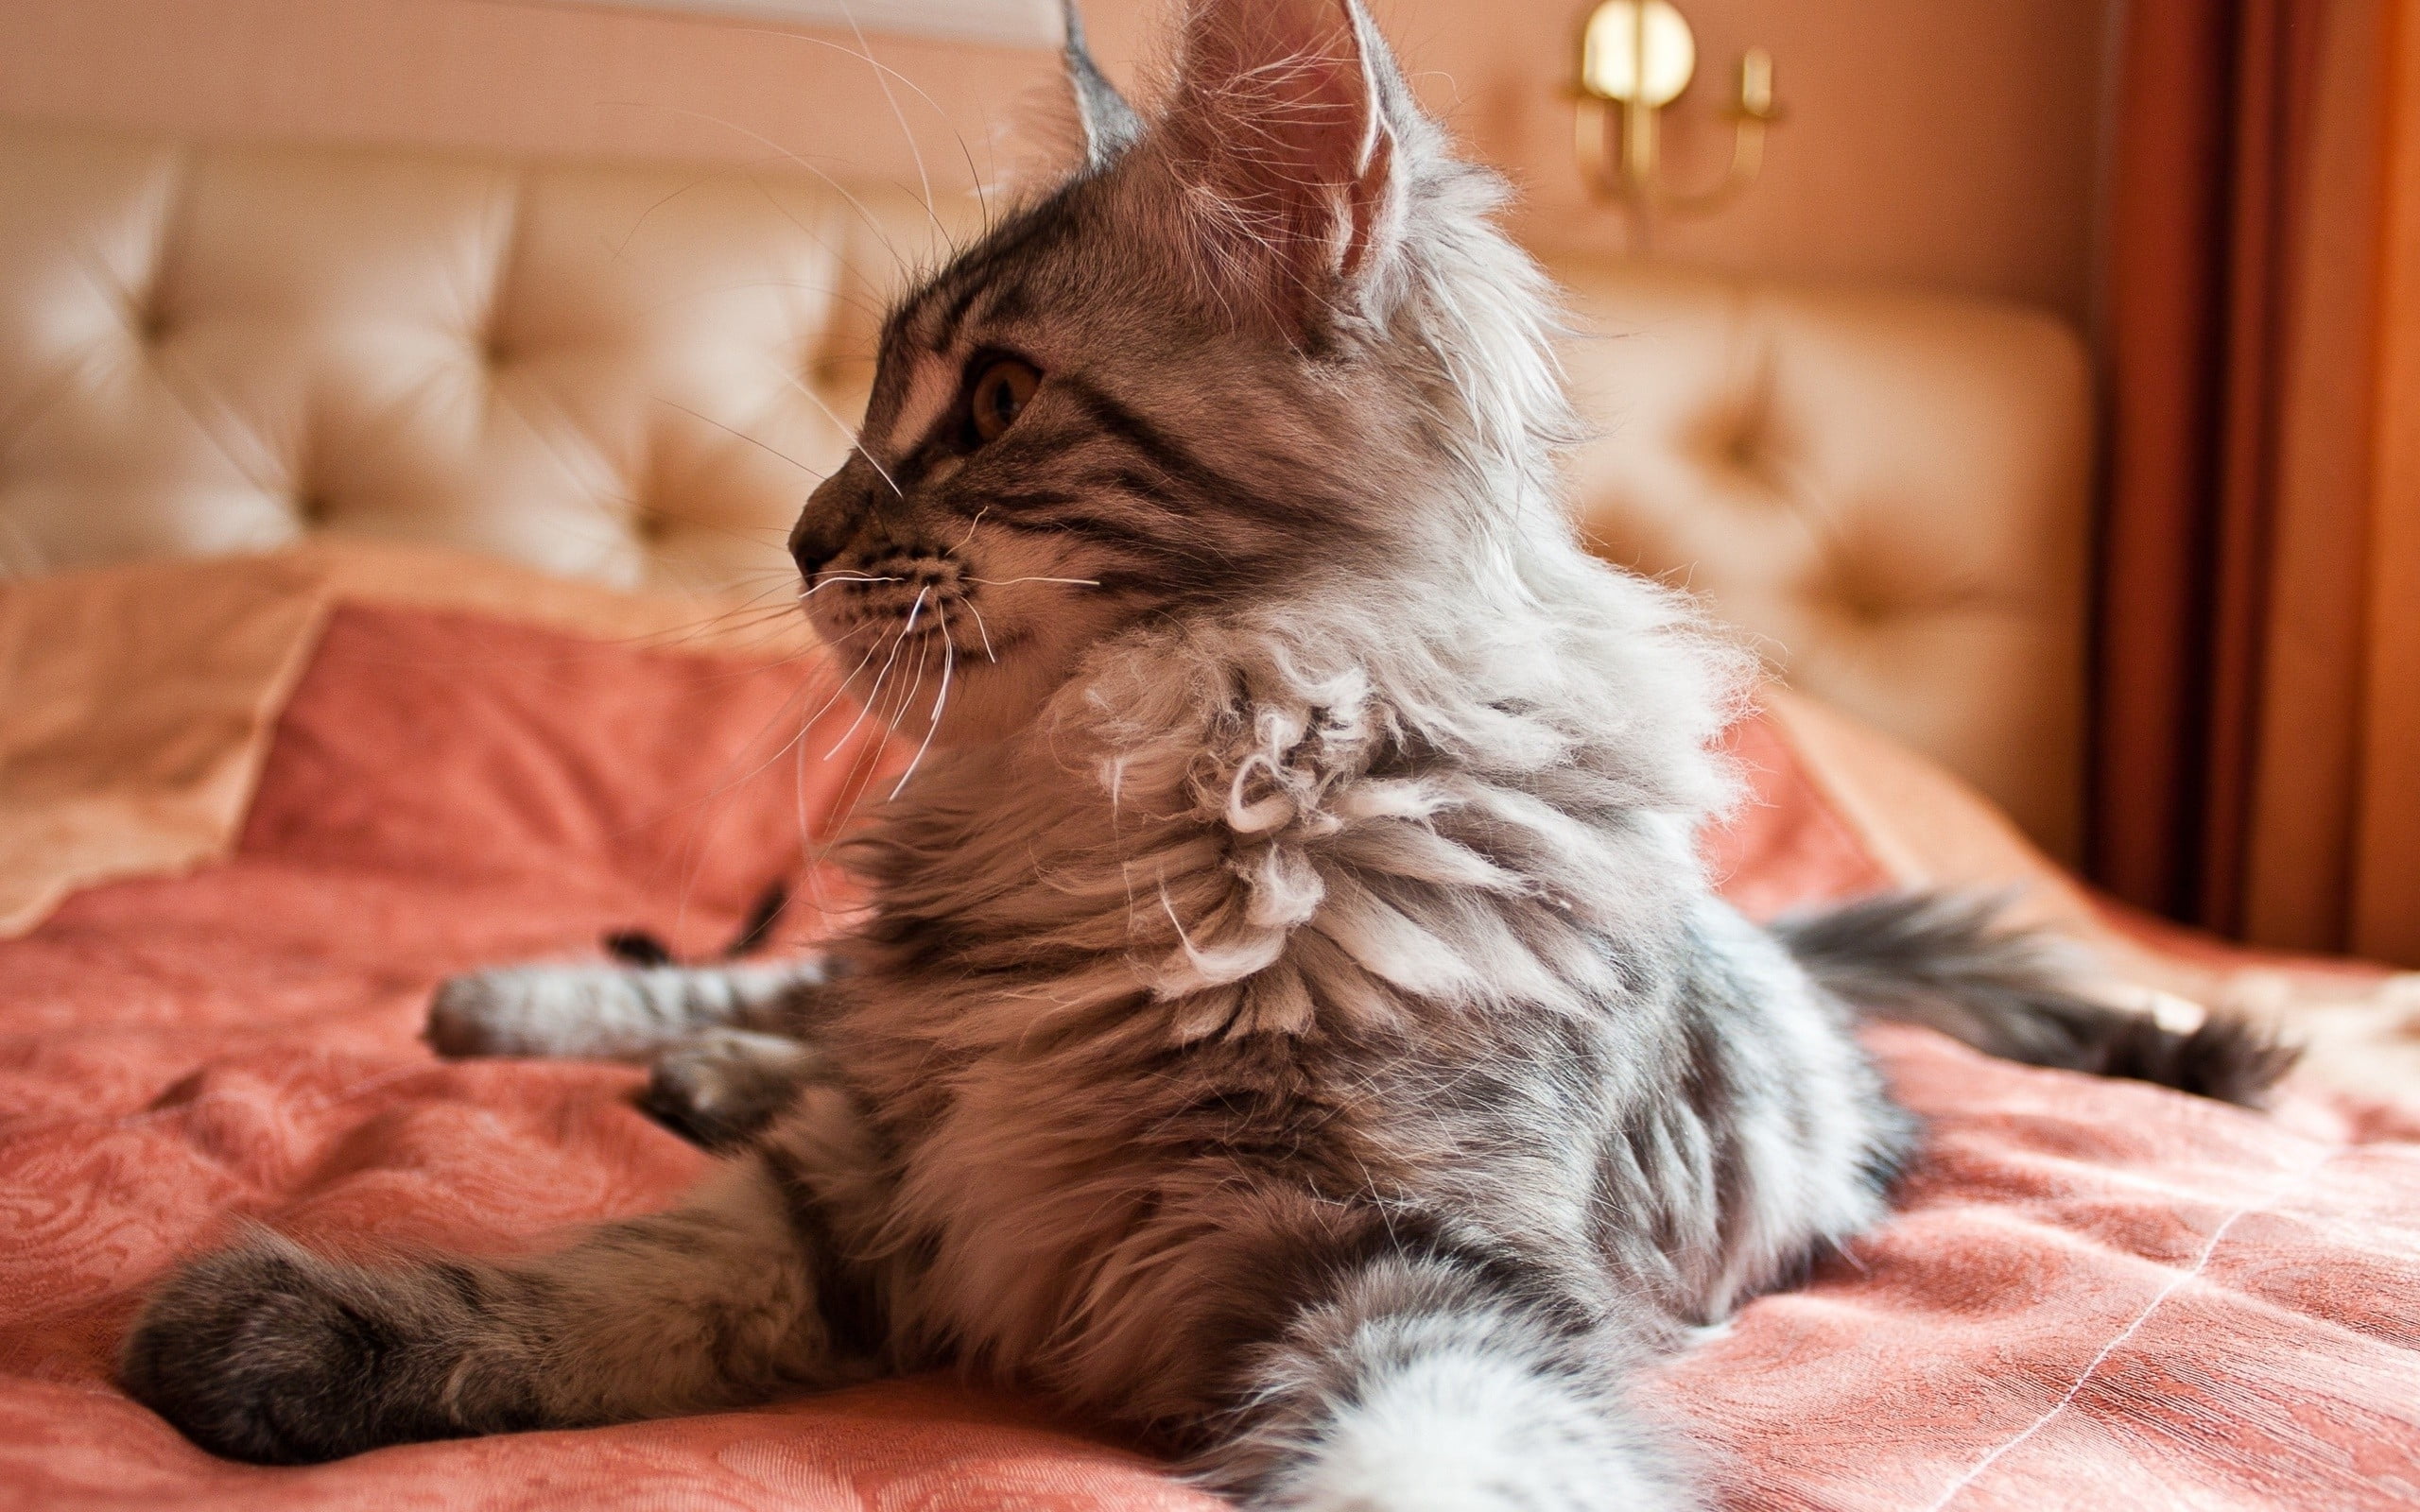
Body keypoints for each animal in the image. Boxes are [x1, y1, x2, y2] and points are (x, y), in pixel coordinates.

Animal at [128, 6, 2284, 1500]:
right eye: (868, 401)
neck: (1150, 796)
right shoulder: (879, 1186)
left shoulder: (1407, 1262)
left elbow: (1425, 1459)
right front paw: (293, 1326)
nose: (802, 538)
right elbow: (601, 1284)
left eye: (996, 400)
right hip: (868, 1024)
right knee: (787, 993)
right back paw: (537, 1010)